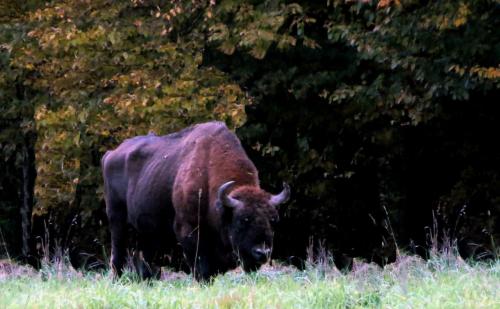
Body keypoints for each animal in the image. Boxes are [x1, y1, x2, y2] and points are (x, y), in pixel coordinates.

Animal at [101, 121, 290, 280]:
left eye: (273, 220)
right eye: (242, 220)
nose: (262, 252)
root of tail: (110, 154)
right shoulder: (188, 230)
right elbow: (201, 267)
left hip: (148, 231)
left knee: (146, 259)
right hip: (117, 220)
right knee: (118, 254)